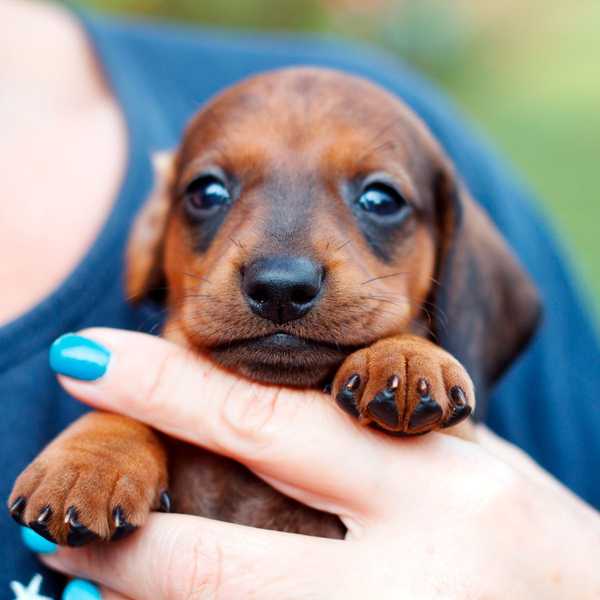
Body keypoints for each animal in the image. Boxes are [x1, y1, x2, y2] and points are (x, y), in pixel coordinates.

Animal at [7, 67, 540, 544]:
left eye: (381, 199)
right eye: (206, 191)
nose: (281, 287)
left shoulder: (464, 446)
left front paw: (406, 357)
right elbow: (128, 410)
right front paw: (89, 459)